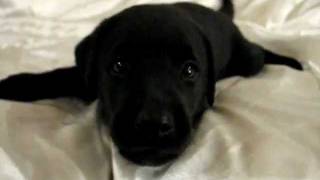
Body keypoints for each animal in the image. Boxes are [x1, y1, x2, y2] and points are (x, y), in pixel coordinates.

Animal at [0, 0, 302, 166]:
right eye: (119, 66)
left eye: (190, 71)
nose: (153, 125)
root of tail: (221, 16)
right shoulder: (87, 77)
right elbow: (62, 74)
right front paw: (15, 83)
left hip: (246, 59)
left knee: (260, 53)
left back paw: (293, 62)